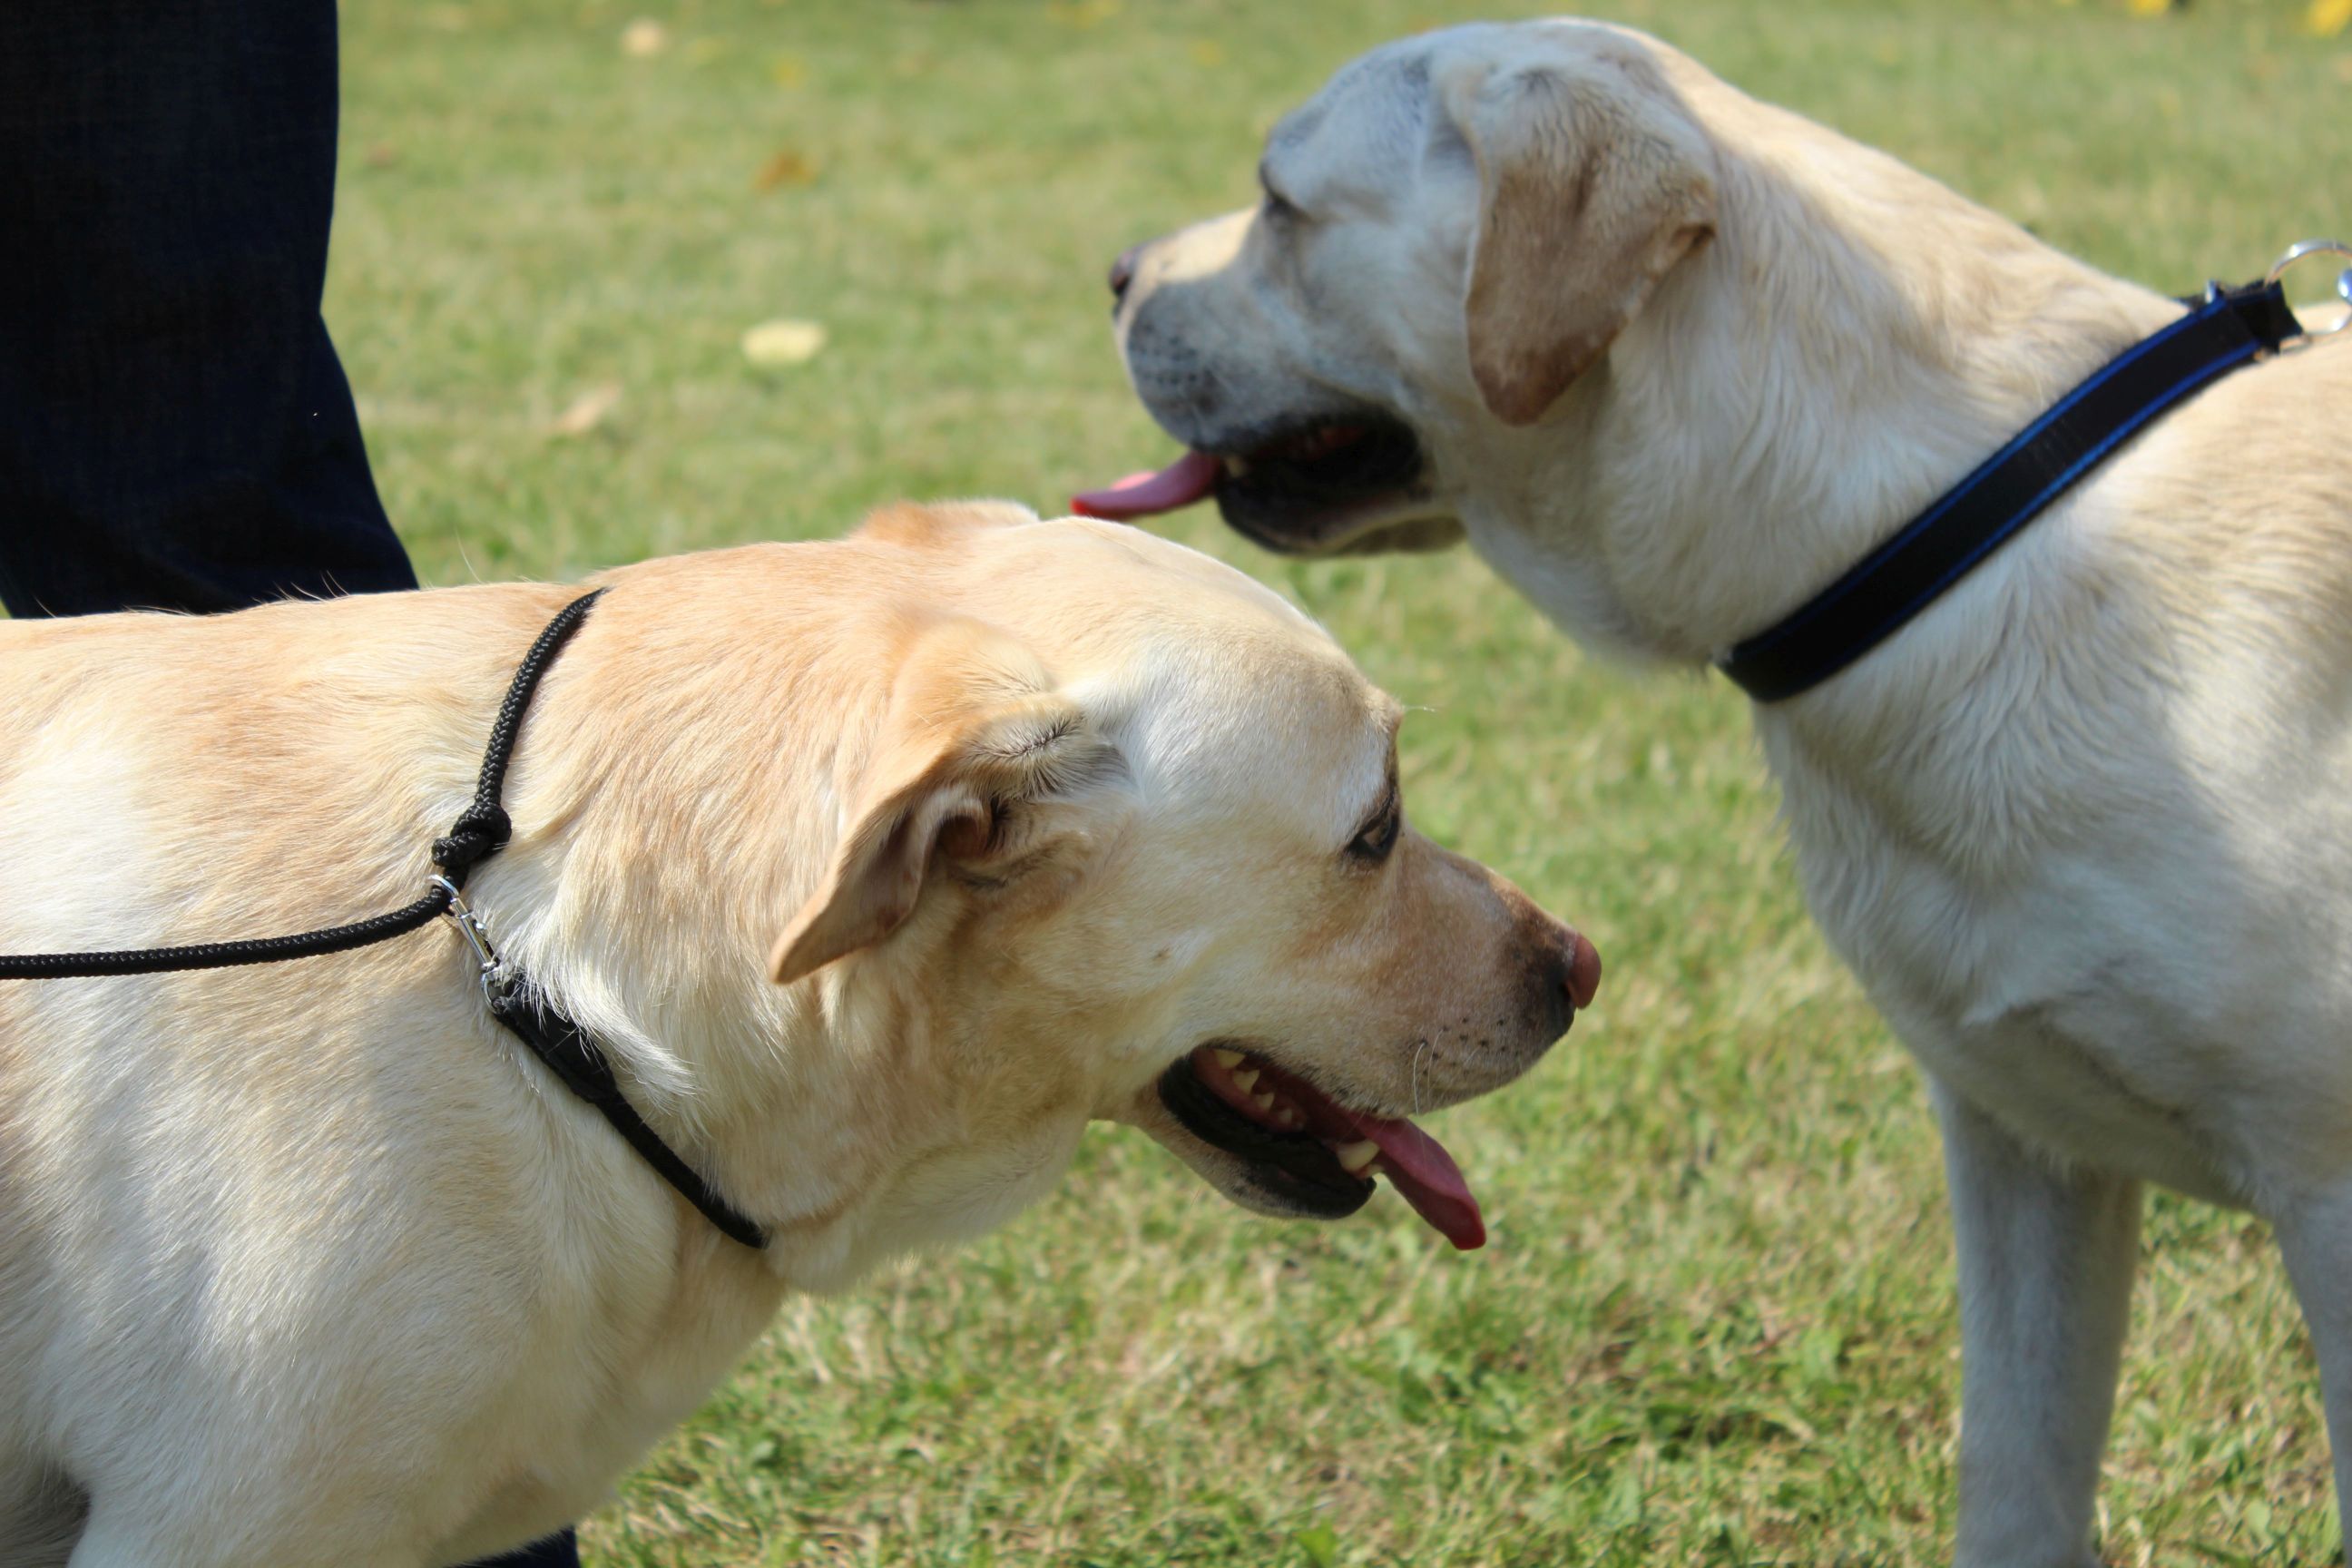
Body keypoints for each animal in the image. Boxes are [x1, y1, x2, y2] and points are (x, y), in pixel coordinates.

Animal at [1082, 15, 2352, 1568]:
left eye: (1279, 203)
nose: (1117, 271)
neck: (1942, 535)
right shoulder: (2021, 1142)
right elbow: (2014, 1478)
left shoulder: (2328, 1190)